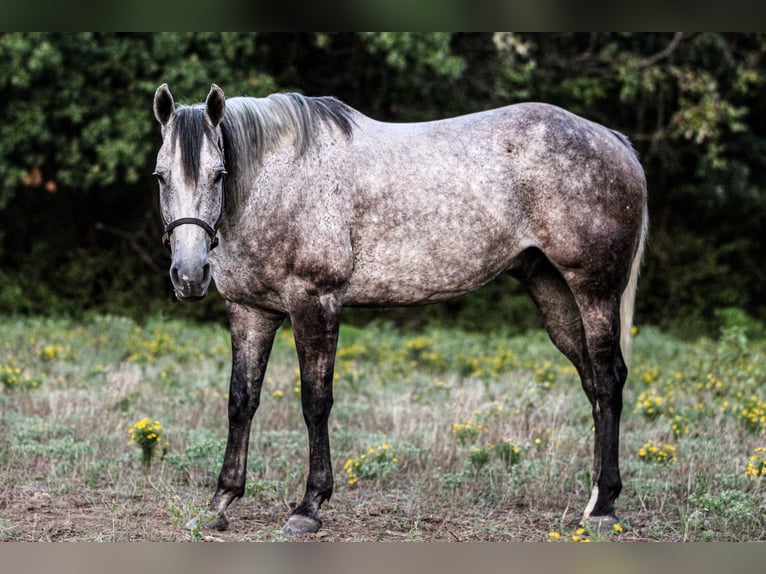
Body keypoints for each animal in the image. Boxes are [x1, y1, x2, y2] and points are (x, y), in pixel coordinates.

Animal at [152, 83, 648, 536]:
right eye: (160, 176)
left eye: (219, 173)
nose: (190, 274)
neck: (280, 183)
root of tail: (613, 141)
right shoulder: (250, 311)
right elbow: (241, 401)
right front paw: (220, 502)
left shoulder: (315, 303)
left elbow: (315, 402)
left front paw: (309, 507)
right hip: (553, 292)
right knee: (593, 384)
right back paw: (593, 501)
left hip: (595, 290)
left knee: (609, 381)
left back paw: (604, 508)